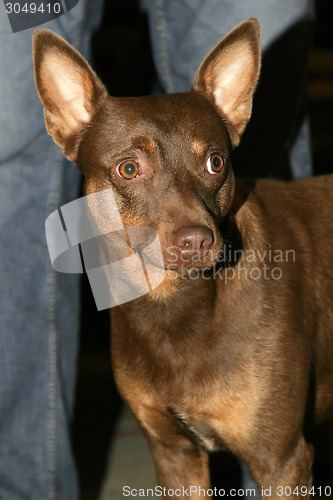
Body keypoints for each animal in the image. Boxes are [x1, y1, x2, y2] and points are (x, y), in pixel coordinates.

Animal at [31, 18, 332, 496]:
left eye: (216, 163)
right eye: (129, 168)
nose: (197, 240)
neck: (172, 306)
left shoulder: (281, 461)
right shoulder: (174, 454)